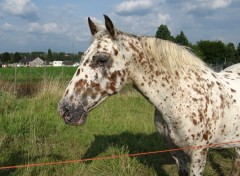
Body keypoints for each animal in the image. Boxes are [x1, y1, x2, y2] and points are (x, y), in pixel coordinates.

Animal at [58, 15, 240, 176]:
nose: (65, 110)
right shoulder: (176, 152)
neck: (182, 100)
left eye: (102, 59)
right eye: (82, 57)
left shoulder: (198, 155)